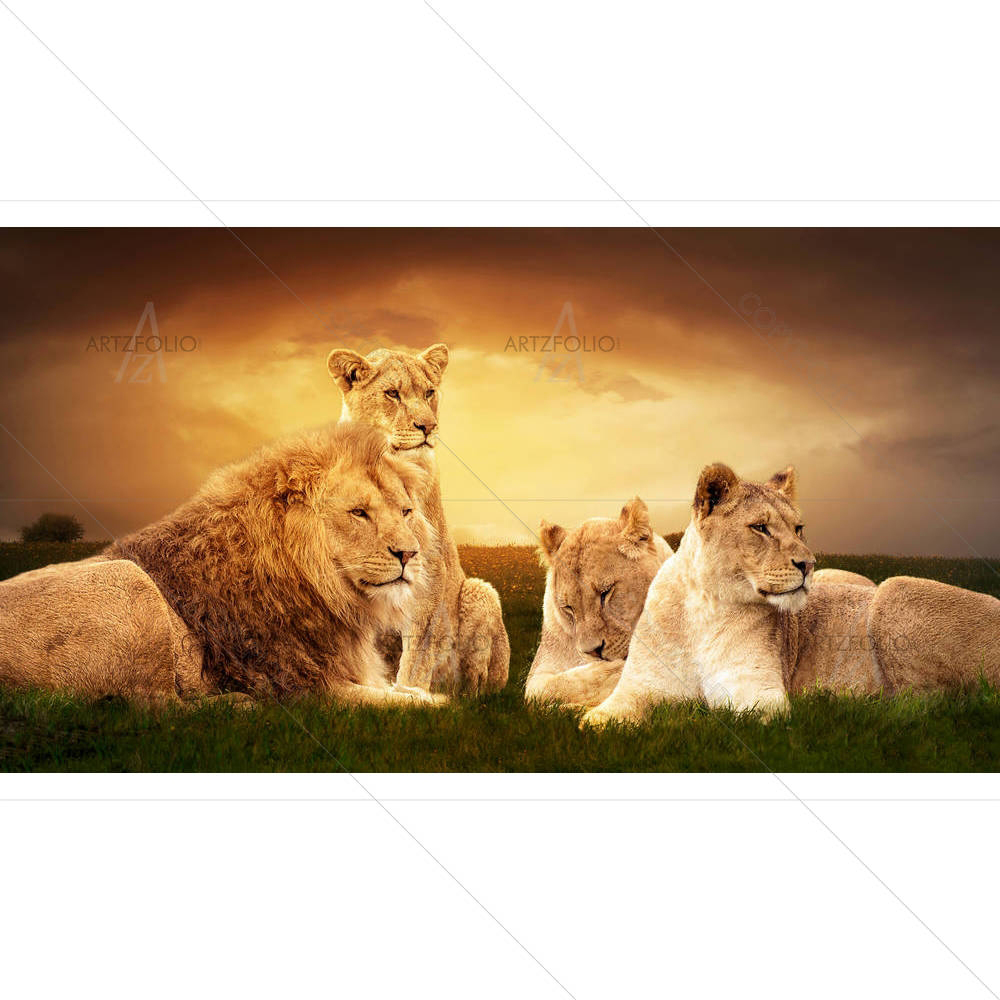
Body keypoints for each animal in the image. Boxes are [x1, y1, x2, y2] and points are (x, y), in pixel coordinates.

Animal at [0, 423, 444, 707]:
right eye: (358, 513)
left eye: (406, 512)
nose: (409, 554)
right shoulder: (304, 686)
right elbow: (416, 705)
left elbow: (409, 693)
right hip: (128, 581)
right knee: (153, 706)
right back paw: (237, 704)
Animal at [327, 342, 509, 695]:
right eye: (392, 394)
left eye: (429, 393)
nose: (428, 426)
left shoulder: (429, 577)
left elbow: (417, 658)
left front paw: (410, 695)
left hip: (480, 592)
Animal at [583, 462, 1000, 727]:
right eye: (761, 528)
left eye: (798, 528)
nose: (809, 564)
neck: (704, 606)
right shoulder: (638, 688)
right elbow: (597, 720)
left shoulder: (758, 693)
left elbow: (714, 714)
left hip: (895, 590)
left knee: (931, 704)